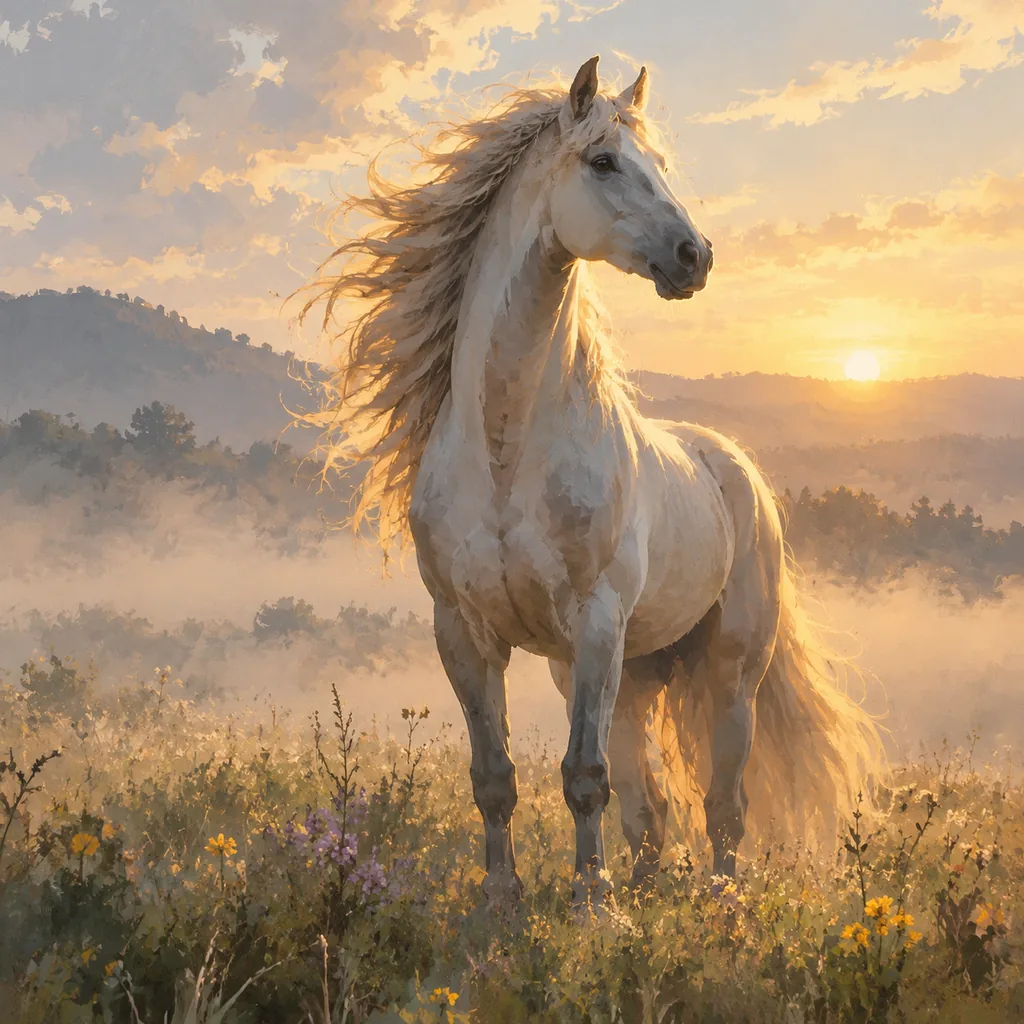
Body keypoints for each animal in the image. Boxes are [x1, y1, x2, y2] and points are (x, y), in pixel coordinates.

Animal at [302, 56, 883, 905]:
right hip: (630, 677)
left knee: (723, 803)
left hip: (729, 670)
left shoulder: (596, 621)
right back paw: (642, 888)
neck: (508, 450)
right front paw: (501, 901)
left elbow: (584, 777)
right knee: (651, 809)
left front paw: (592, 906)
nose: (695, 256)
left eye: (661, 163)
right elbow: (496, 778)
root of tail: (735, 466)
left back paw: (717, 900)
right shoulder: (465, 633)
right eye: (604, 161)